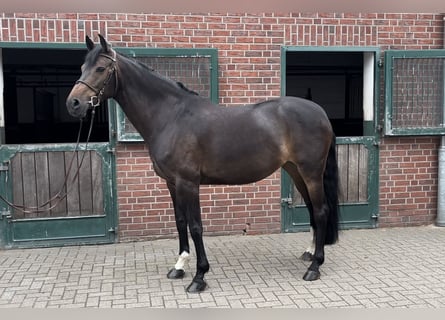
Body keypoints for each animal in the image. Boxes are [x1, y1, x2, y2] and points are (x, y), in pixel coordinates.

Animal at [66, 34, 338, 292]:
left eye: (100, 68)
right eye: (81, 67)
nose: (73, 104)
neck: (171, 117)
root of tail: (320, 113)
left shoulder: (189, 183)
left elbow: (196, 226)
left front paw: (199, 277)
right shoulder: (172, 183)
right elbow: (180, 221)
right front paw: (179, 266)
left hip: (311, 172)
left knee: (321, 211)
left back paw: (314, 267)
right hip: (296, 171)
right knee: (312, 209)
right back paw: (309, 254)